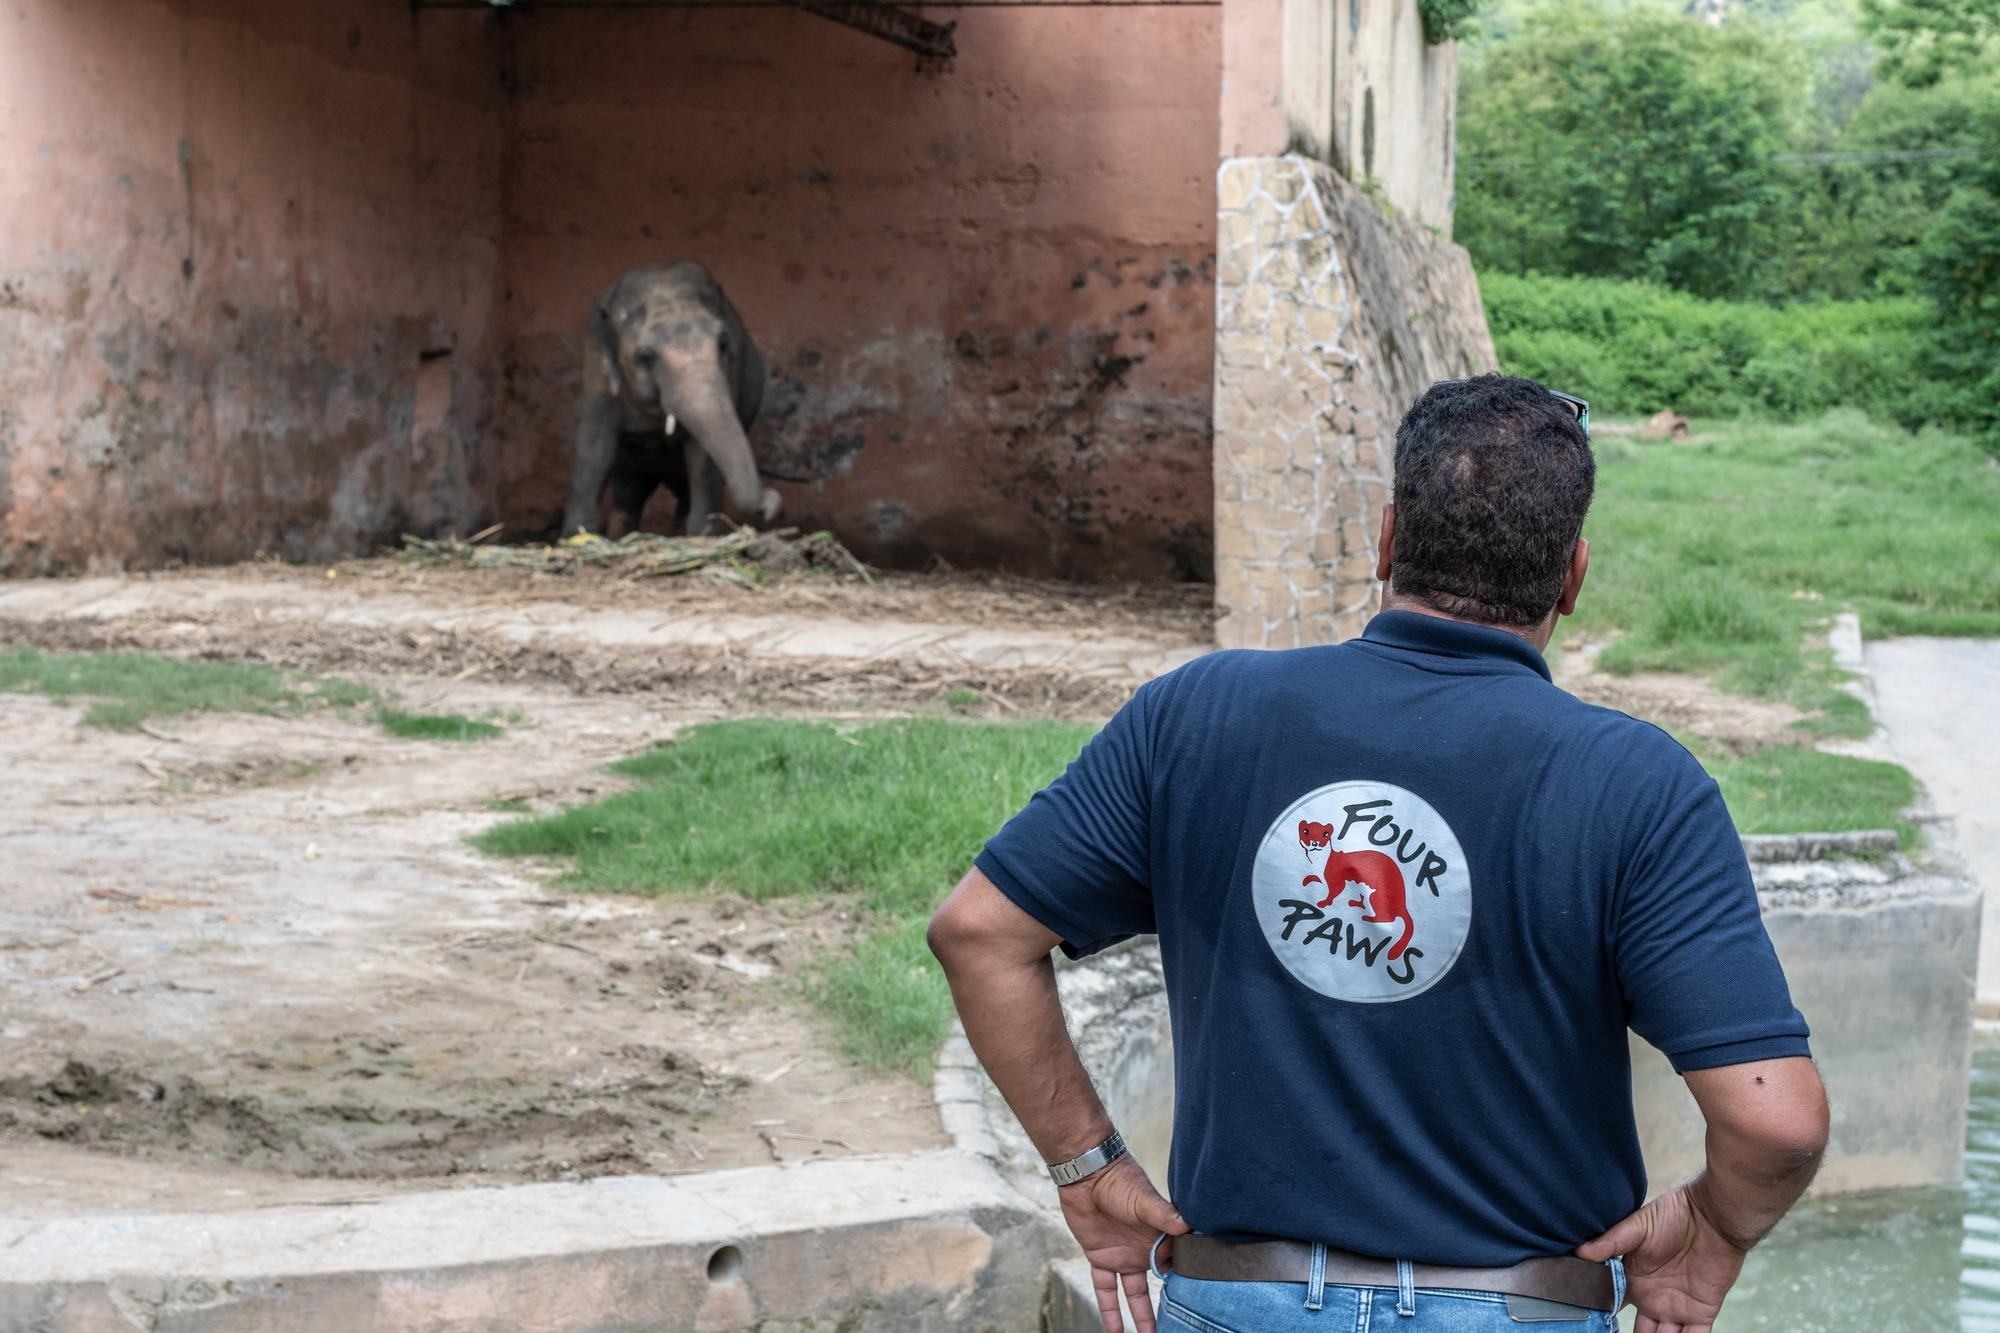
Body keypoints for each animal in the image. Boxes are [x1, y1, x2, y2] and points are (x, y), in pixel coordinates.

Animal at [568, 262, 784, 536]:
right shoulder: (597, 372)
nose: (771, 504)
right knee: (629, 493)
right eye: (645, 356)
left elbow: (702, 457)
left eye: (724, 343)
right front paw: (577, 535)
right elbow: (595, 444)